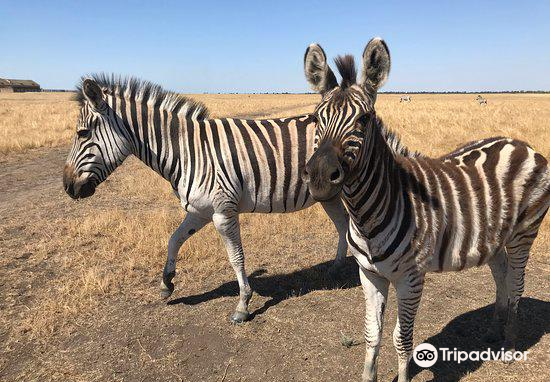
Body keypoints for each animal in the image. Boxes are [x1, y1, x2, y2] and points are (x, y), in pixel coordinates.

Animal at [63, 75, 350, 326]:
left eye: (82, 133)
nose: (67, 187)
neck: (188, 151)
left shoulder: (223, 212)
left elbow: (236, 257)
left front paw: (243, 305)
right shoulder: (199, 210)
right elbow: (174, 239)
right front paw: (166, 283)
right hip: (329, 195)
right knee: (344, 226)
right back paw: (337, 268)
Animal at [302, 36, 550, 382]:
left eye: (364, 120)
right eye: (315, 119)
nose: (320, 177)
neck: (367, 214)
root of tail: (520, 144)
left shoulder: (411, 277)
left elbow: (402, 339)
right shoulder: (369, 275)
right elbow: (372, 334)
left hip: (523, 234)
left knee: (517, 283)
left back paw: (510, 345)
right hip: (494, 236)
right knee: (501, 273)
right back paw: (493, 331)